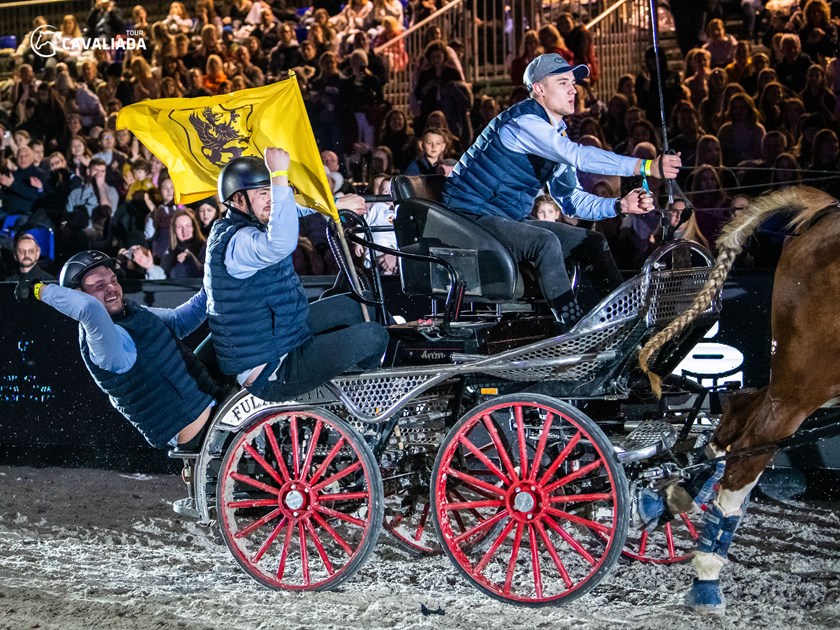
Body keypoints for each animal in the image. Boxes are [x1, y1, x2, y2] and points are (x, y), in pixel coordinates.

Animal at [638, 185, 840, 612]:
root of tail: (826, 211)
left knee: (738, 411)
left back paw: (678, 491)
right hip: (805, 379)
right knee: (751, 448)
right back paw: (706, 572)